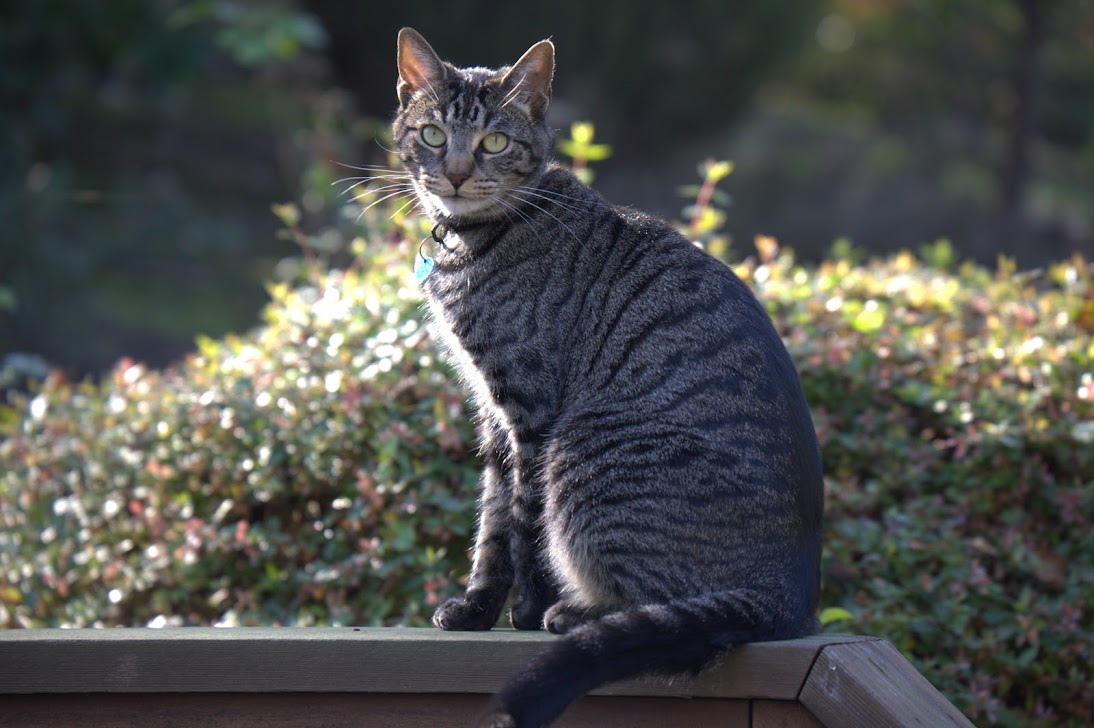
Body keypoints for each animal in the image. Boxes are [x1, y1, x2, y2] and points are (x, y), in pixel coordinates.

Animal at [389, 26, 822, 726]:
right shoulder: (494, 416)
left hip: (586, 450)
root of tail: (786, 596)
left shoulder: (529, 410)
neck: (476, 243)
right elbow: (491, 524)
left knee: (672, 613)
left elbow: (524, 526)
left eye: (494, 143)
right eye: (431, 134)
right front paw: (476, 610)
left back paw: (572, 614)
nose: (453, 173)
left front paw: (526, 611)